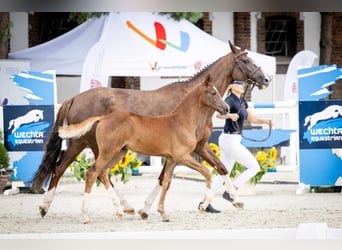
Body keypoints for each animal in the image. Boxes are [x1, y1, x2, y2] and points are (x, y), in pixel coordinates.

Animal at [58, 76, 228, 223]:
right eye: (213, 93)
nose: (226, 109)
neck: (181, 121)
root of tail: (103, 118)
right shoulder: (183, 157)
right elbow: (207, 173)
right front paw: (204, 205)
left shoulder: (172, 160)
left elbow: (166, 182)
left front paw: (162, 214)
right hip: (108, 152)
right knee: (92, 173)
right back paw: (87, 216)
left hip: (119, 152)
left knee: (103, 172)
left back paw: (119, 210)